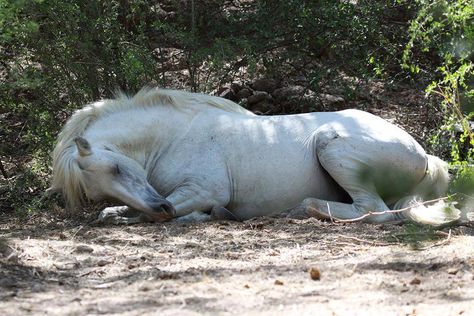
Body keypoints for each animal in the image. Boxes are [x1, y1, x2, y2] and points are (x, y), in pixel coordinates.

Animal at [51, 86, 460, 225]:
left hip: (332, 146)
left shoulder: (204, 190)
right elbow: (114, 213)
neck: (173, 136)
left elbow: (165, 212)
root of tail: (427, 160)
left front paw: (205, 215)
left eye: (116, 168)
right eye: (101, 187)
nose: (160, 206)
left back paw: (304, 209)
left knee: (375, 211)